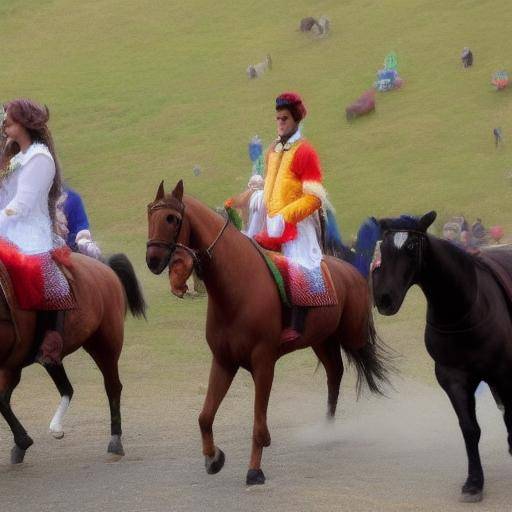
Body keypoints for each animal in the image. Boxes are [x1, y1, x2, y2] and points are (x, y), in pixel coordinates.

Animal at [0, 252, 146, 464]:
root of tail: (104, 266)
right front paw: (23, 441)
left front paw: (24, 440)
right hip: (22, 362)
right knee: (60, 388)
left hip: (105, 344)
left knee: (112, 387)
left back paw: (115, 440)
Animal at [146, 182, 390, 486]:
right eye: (150, 214)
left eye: (172, 219)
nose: (153, 260)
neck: (237, 287)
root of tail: (350, 271)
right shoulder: (224, 362)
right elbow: (204, 416)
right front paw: (213, 458)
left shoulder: (263, 364)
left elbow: (258, 423)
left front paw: (254, 470)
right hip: (323, 341)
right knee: (335, 374)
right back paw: (327, 430)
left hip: (353, 338)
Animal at [372, 210, 512, 502]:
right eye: (385, 248)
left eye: (412, 246)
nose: (384, 299)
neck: (465, 306)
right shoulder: (453, 377)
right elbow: (470, 429)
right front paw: (474, 482)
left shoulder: (502, 372)